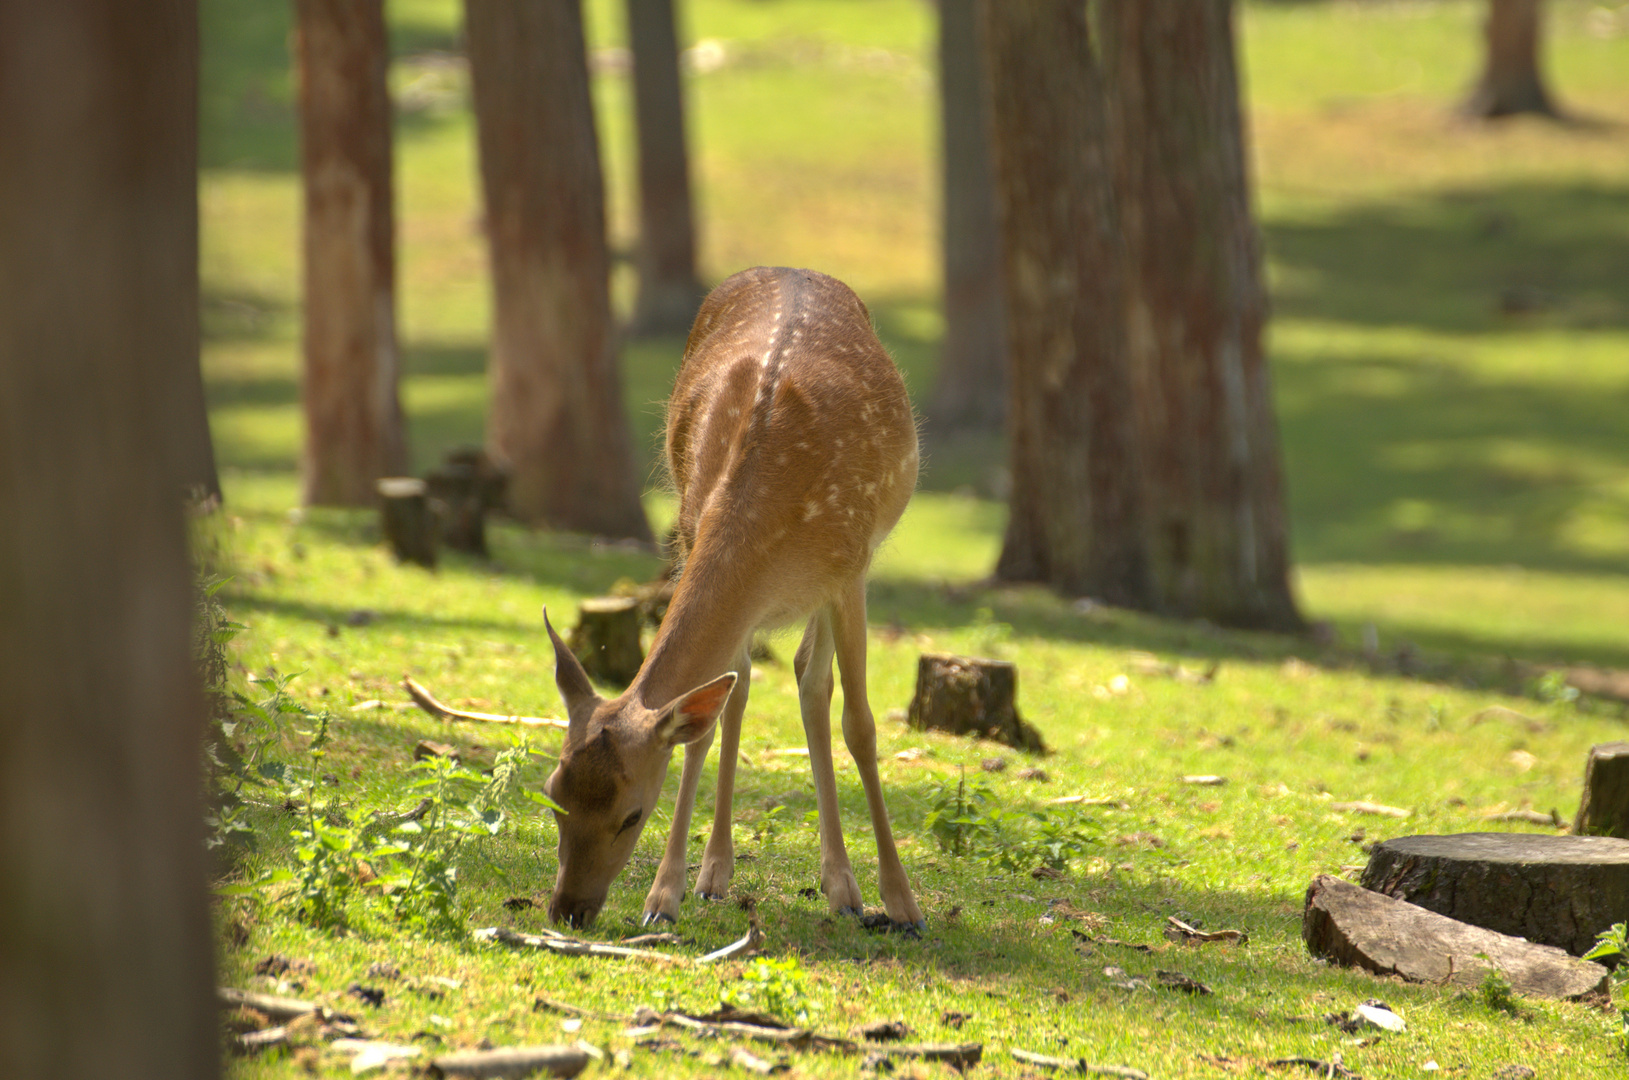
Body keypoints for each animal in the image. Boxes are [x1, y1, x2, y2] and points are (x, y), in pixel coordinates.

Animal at [544, 268, 925, 931]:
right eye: (553, 794)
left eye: (631, 814)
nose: (568, 910)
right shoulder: (690, 532)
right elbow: (704, 723)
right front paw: (664, 895)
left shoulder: (848, 572)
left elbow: (861, 724)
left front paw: (902, 902)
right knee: (749, 687)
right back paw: (719, 874)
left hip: (849, 568)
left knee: (813, 683)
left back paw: (844, 889)